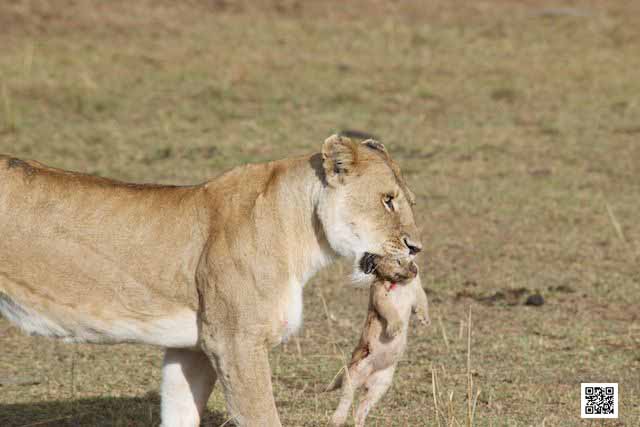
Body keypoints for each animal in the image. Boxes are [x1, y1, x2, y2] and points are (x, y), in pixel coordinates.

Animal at [327, 256, 430, 427]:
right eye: (398, 261)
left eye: (411, 259)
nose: (415, 269)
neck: (401, 284)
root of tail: (366, 378)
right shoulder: (379, 295)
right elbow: (390, 310)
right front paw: (395, 328)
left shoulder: (415, 293)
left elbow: (422, 300)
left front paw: (425, 320)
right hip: (355, 373)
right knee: (346, 398)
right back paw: (337, 419)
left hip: (380, 385)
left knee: (362, 407)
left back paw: (359, 422)